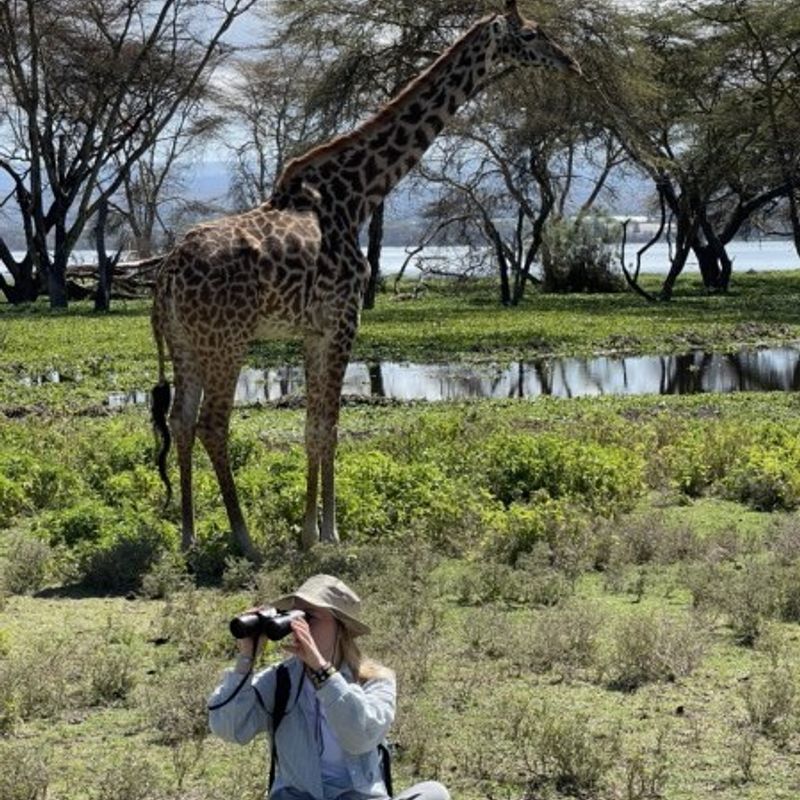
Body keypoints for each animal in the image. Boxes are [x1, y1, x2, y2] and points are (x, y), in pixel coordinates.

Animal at [150, 0, 580, 560]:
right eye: (530, 34)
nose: (572, 63)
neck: (355, 194)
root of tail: (167, 273)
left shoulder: (314, 330)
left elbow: (312, 425)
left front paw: (309, 530)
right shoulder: (344, 319)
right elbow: (327, 427)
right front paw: (327, 532)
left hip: (186, 342)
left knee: (180, 420)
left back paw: (188, 535)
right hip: (227, 340)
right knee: (211, 423)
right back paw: (243, 538)